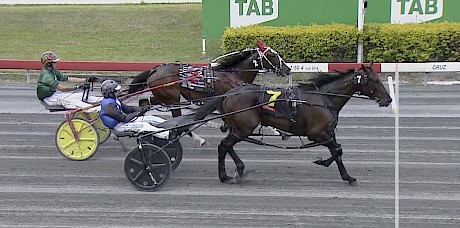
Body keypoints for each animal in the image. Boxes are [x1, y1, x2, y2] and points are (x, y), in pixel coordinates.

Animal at [127, 39, 290, 144]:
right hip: (172, 99)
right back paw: (199, 139)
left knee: (144, 101)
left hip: (162, 95)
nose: (287, 69)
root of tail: (155, 69)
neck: (233, 73)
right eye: (273, 55)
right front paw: (278, 131)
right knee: (177, 120)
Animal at [193, 63, 392, 186]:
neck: (324, 99)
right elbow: (337, 149)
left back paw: (229, 173)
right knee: (225, 145)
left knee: (225, 146)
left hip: (239, 128)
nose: (388, 99)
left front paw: (341, 172)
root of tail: (229, 93)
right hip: (244, 128)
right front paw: (331, 166)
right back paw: (233, 173)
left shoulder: (327, 132)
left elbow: (337, 150)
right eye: (375, 80)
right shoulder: (316, 133)